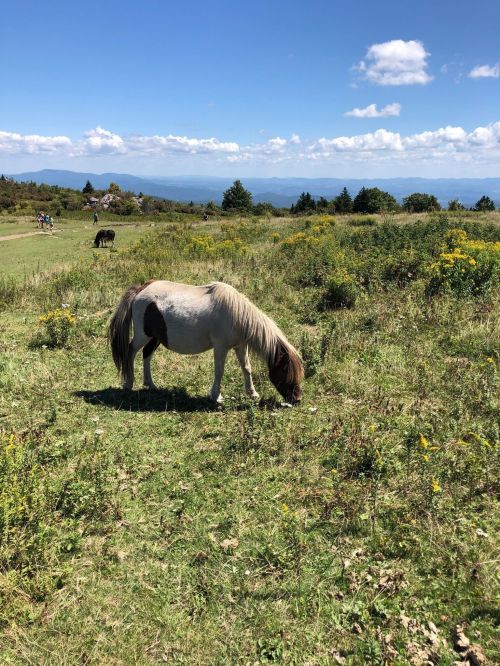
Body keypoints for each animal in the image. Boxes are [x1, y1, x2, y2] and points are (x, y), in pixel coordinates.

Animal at [108, 280, 304, 404]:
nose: (297, 399)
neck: (236, 314)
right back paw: (128, 383)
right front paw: (216, 396)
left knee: (146, 355)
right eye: (286, 371)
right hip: (143, 335)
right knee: (131, 351)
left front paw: (252, 393)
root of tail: (141, 288)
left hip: (155, 338)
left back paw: (151, 384)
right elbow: (219, 371)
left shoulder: (241, 346)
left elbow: (247, 368)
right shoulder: (221, 347)